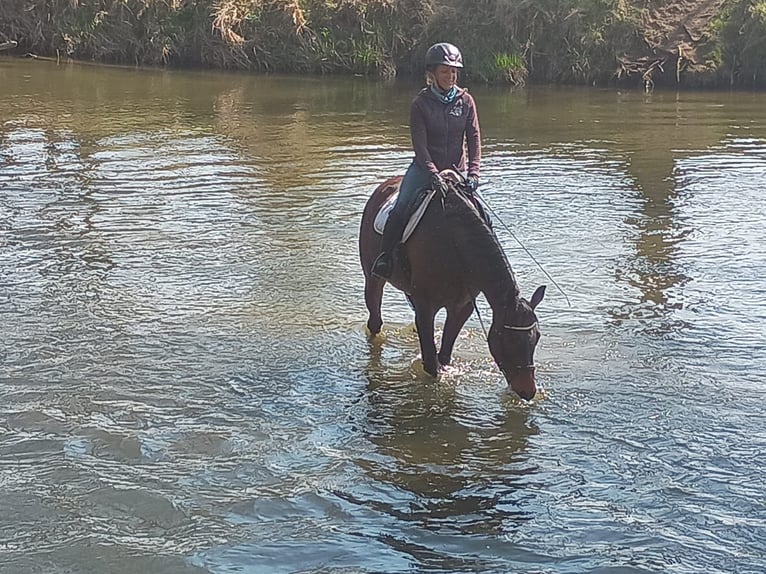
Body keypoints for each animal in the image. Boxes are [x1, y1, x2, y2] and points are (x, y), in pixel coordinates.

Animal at [358, 172, 546, 400]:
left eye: (536, 337)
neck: (455, 244)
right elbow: (431, 364)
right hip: (373, 279)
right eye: (509, 340)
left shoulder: (462, 307)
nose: (528, 391)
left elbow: (444, 356)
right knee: (375, 321)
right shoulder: (425, 307)